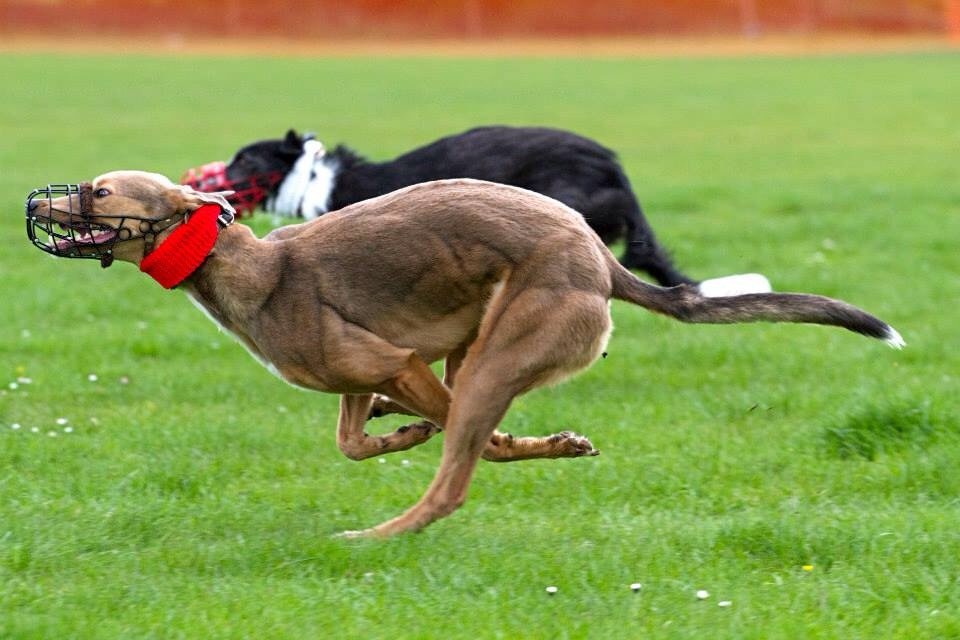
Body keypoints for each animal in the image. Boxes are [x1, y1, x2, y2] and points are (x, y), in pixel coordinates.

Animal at [26, 170, 904, 536]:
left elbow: (444, 435)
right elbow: (352, 440)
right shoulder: (371, 368)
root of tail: (599, 256)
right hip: (472, 346)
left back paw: (374, 537)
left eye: (99, 191)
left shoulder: (398, 361)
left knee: (453, 484)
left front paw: (449, 433)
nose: (34, 204)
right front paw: (401, 430)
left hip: (493, 358)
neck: (253, 267)